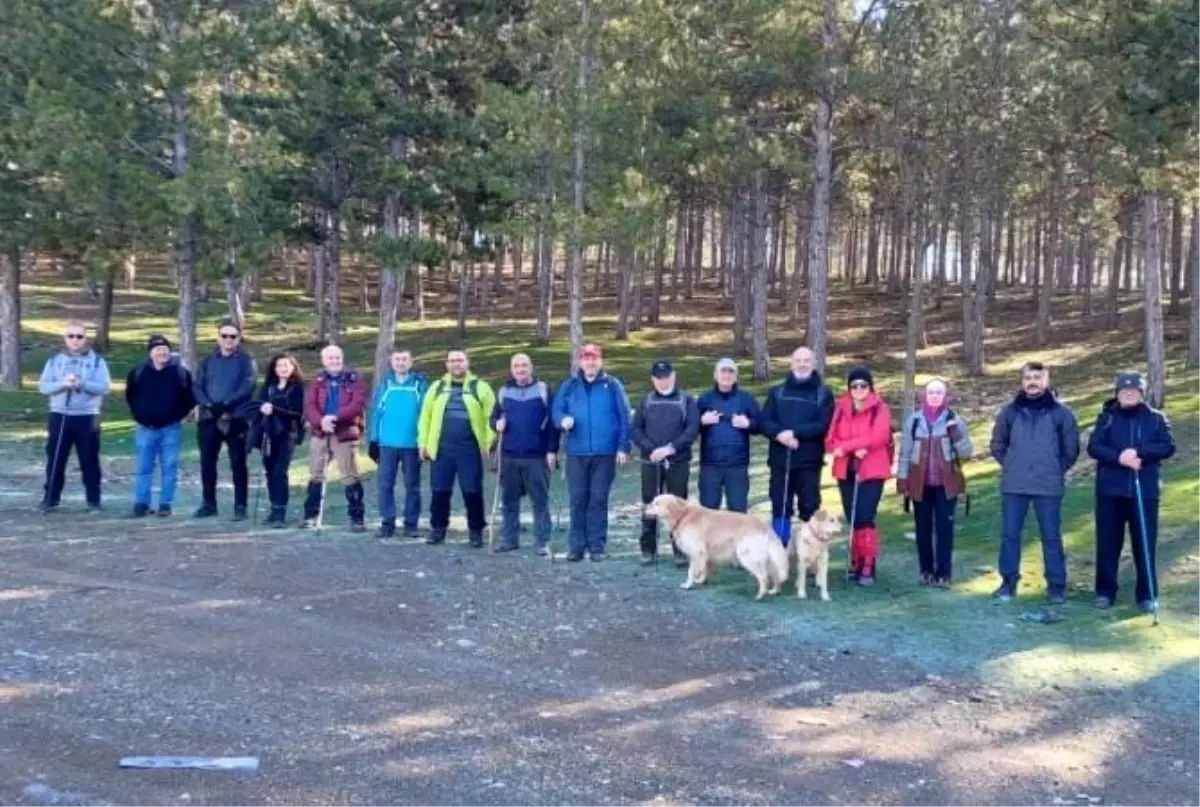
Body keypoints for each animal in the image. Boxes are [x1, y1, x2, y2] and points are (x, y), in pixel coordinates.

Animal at [643, 492, 792, 598]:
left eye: (656, 503)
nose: (644, 507)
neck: (683, 515)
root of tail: (764, 526)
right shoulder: (706, 554)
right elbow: (705, 569)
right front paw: (701, 580)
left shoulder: (697, 552)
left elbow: (691, 571)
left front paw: (688, 584)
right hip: (768, 559)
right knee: (776, 575)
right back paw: (774, 591)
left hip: (747, 557)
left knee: (763, 576)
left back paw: (761, 595)